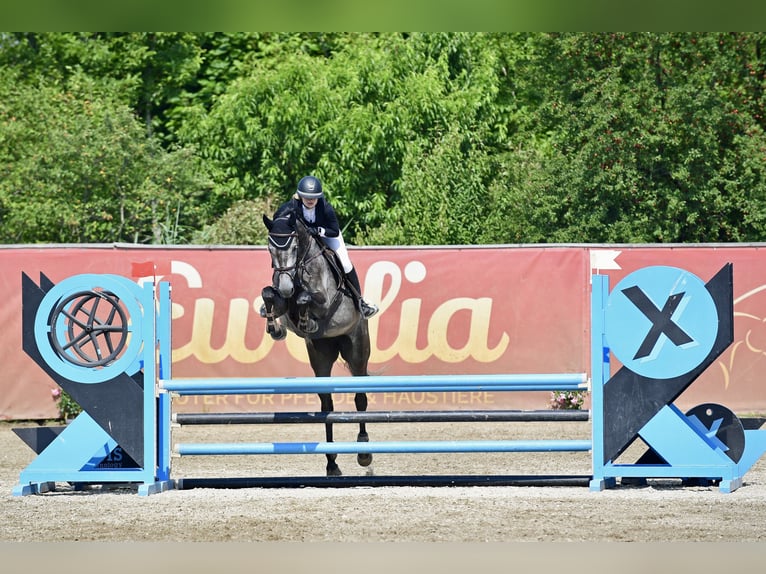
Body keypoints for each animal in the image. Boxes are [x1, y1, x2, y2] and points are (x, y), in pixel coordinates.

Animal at [260, 212, 376, 476]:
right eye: (270, 248)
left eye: (294, 247)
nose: (286, 287)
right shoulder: (281, 301)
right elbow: (268, 294)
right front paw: (275, 328)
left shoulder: (324, 300)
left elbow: (306, 298)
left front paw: (306, 320)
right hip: (320, 356)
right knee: (327, 406)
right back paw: (332, 463)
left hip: (357, 350)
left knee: (360, 398)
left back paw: (364, 453)